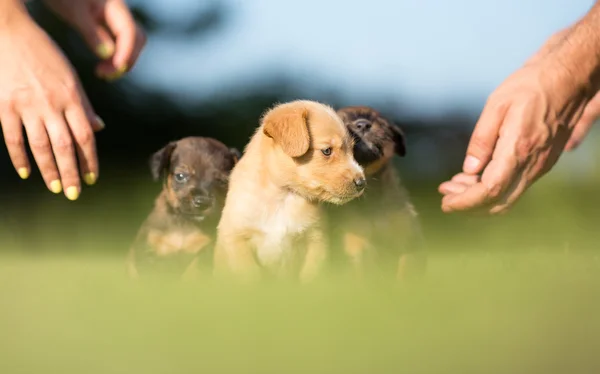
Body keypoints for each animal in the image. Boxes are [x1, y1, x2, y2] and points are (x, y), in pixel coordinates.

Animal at [128, 137, 239, 278]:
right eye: (180, 176)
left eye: (222, 181)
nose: (202, 202)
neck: (184, 222)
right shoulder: (147, 251)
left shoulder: (205, 251)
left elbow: (193, 271)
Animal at [213, 101, 368, 282]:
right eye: (327, 150)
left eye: (352, 150)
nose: (361, 182)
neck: (285, 196)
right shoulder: (236, 238)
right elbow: (251, 276)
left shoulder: (316, 240)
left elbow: (311, 277)